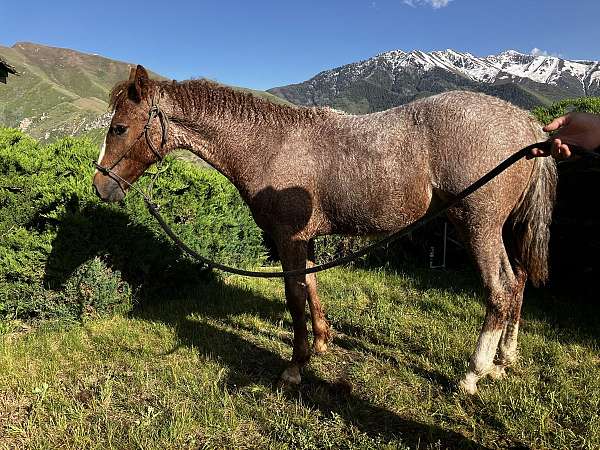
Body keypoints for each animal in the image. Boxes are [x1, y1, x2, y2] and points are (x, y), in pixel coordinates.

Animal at [94, 66, 556, 394]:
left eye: (119, 128)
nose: (100, 185)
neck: (272, 144)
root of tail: (528, 125)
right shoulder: (306, 240)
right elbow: (312, 290)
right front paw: (321, 343)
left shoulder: (288, 239)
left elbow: (294, 297)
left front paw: (295, 367)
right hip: (504, 230)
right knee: (517, 283)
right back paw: (503, 360)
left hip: (479, 227)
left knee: (499, 290)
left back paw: (473, 374)